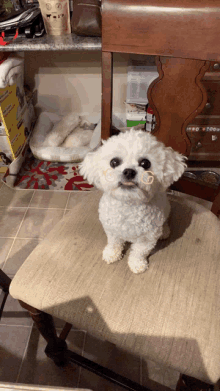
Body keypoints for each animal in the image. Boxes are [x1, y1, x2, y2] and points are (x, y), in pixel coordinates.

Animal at [78, 130, 186, 274]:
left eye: (145, 163)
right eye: (114, 162)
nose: (129, 171)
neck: (129, 204)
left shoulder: (147, 238)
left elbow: (139, 252)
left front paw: (137, 264)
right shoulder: (112, 230)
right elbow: (114, 243)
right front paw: (111, 254)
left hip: (166, 209)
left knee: (166, 221)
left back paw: (165, 231)